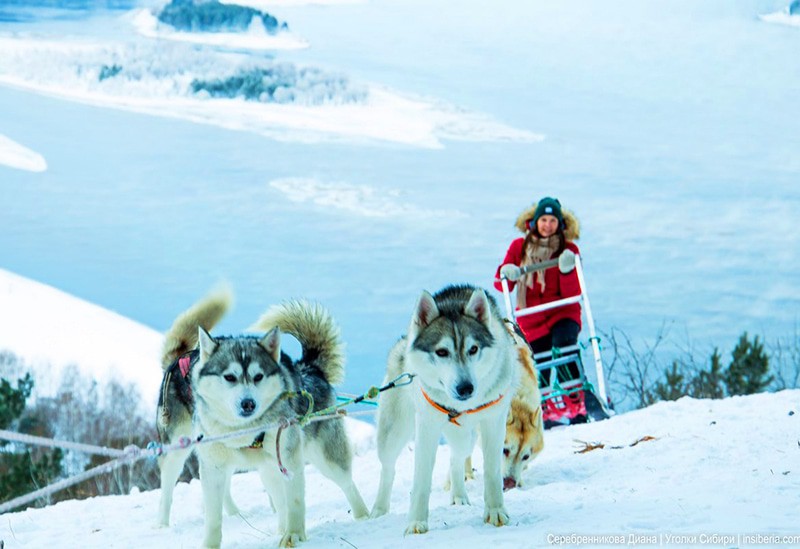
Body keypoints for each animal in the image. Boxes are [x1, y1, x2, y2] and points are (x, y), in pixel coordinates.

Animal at [156, 288, 368, 544]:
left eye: (258, 377)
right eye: (229, 377)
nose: (248, 403)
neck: (243, 430)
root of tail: (310, 369)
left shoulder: (288, 459)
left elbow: (294, 502)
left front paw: (293, 536)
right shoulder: (214, 464)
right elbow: (213, 517)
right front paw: (211, 544)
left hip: (318, 456)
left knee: (345, 483)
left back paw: (365, 517)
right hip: (181, 448)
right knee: (170, 486)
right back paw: (165, 525)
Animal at [370, 284, 520, 532]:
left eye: (473, 349)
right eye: (441, 352)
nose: (465, 387)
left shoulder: (494, 421)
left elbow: (492, 471)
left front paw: (495, 511)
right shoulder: (427, 426)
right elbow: (421, 480)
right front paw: (416, 522)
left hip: (467, 438)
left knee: (456, 458)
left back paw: (459, 495)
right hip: (393, 434)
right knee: (388, 468)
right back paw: (379, 509)